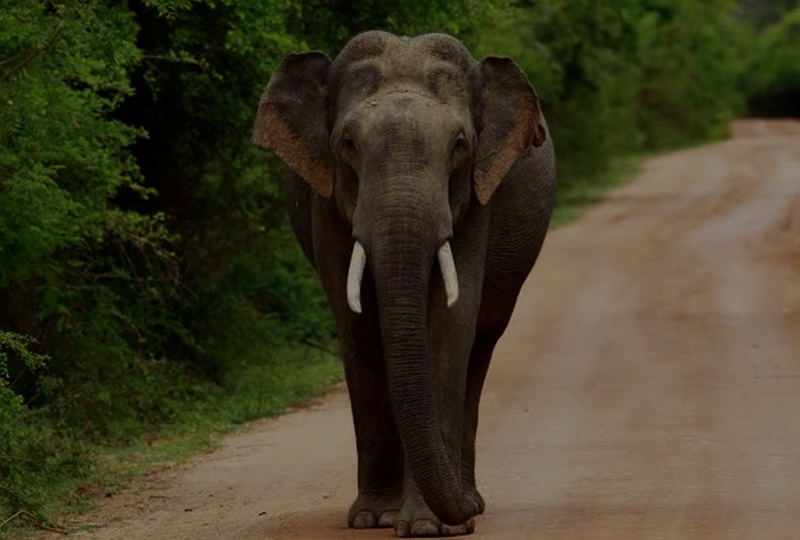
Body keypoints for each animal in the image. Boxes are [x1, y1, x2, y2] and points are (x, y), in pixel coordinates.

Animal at [253, 31, 556, 537]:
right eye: (347, 142)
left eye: (460, 144)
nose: (466, 514)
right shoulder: (325, 201)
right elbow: (357, 326)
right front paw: (374, 518)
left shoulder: (475, 199)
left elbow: (449, 325)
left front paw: (432, 526)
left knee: (481, 346)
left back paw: (468, 498)